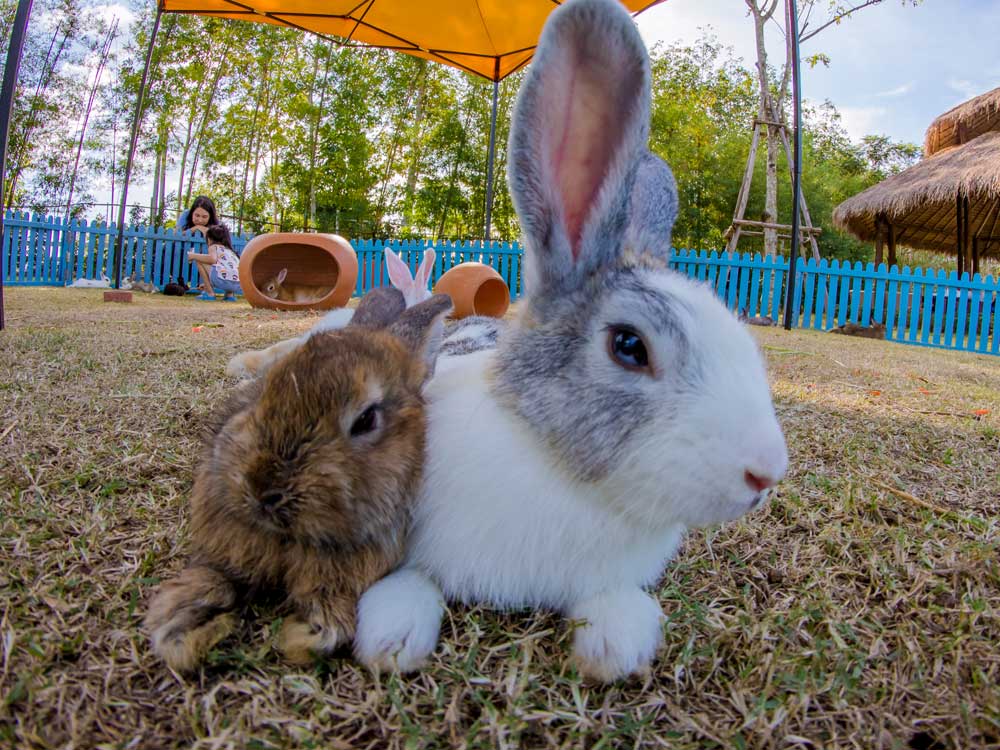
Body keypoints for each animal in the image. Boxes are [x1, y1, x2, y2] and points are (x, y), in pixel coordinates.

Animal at [145, 286, 454, 668]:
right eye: (269, 388)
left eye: (366, 419)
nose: (262, 490)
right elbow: (213, 579)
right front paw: (182, 627)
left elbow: (328, 624)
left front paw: (296, 637)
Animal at [352, 0, 788, 684]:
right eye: (629, 346)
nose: (765, 476)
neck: (558, 471)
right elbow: (411, 584)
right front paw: (392, 638)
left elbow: (613, 616)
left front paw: (615, 644)